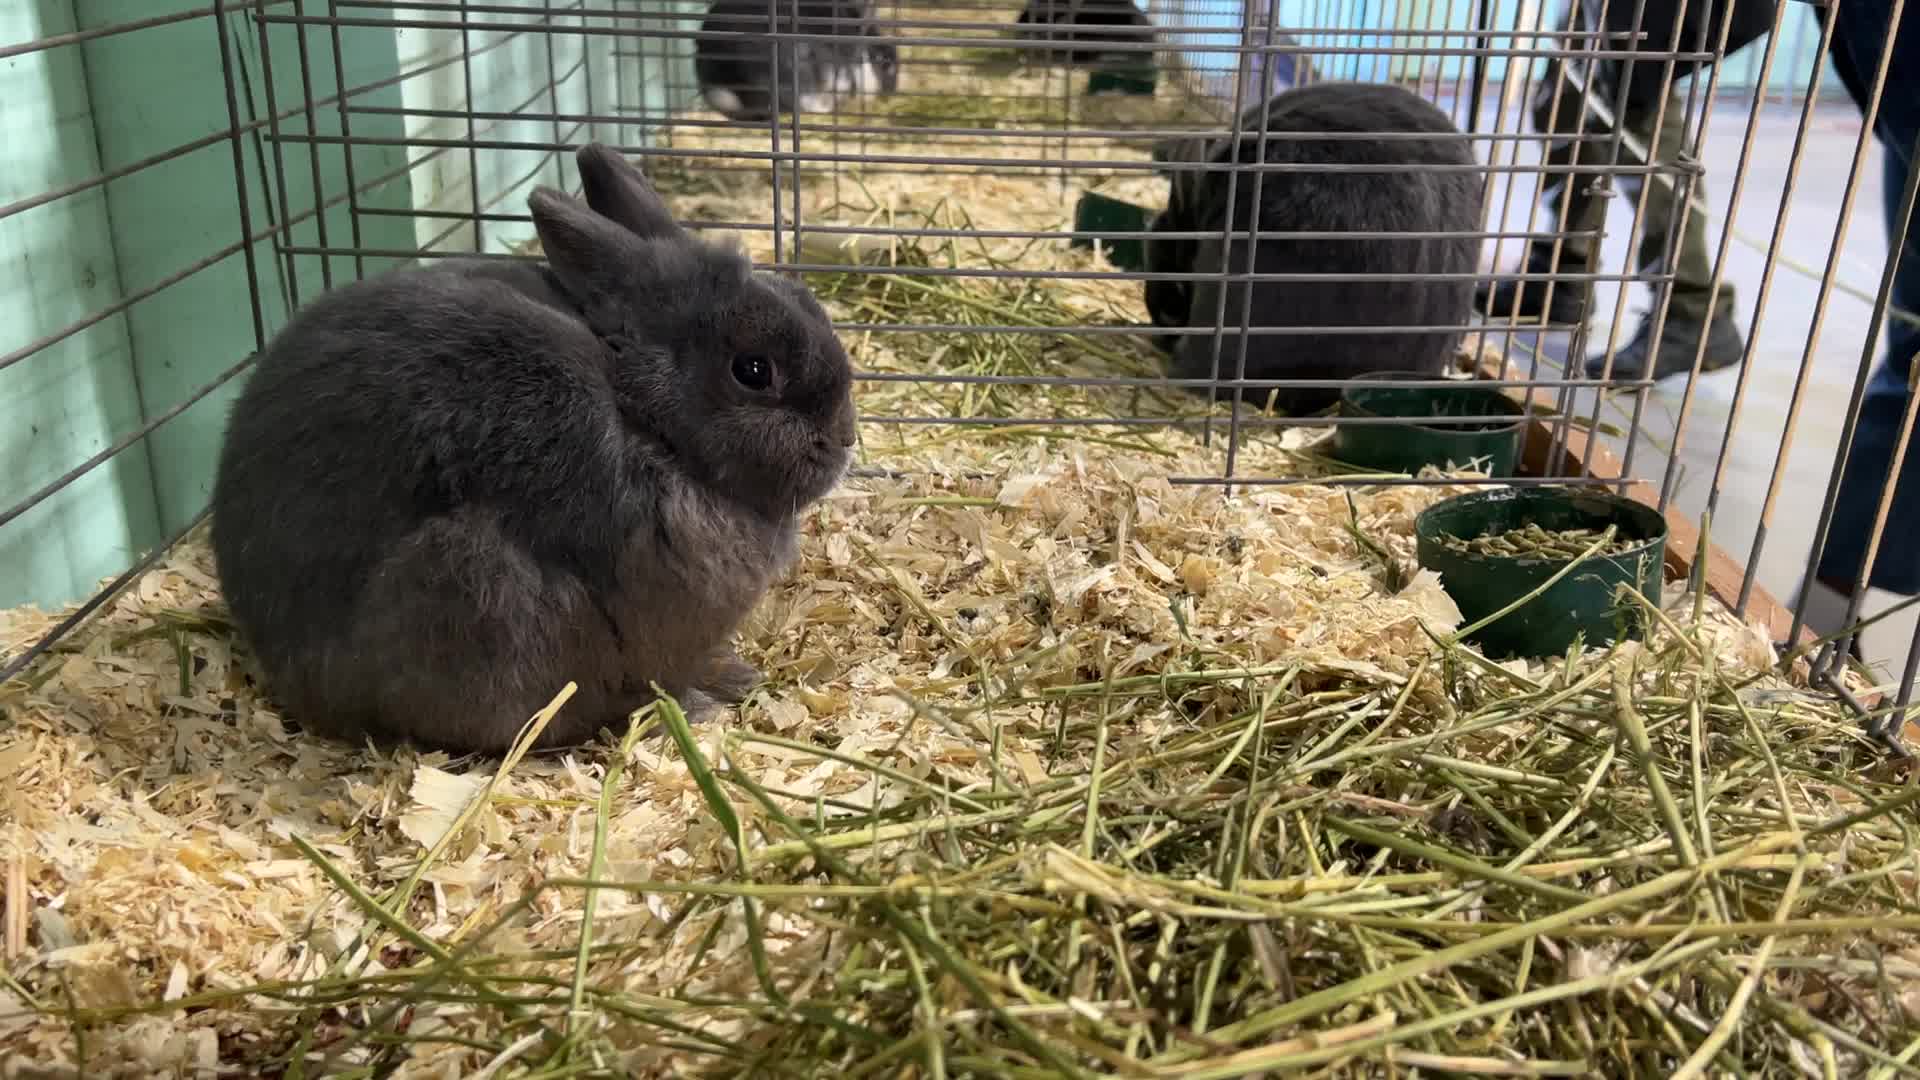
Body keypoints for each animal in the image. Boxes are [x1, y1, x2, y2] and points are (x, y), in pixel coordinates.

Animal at [209, 143, 858, 755]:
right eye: (753, 370)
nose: (845, 439)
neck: (643, 417)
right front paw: (704, 699)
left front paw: (734, 676)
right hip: (465, 580)